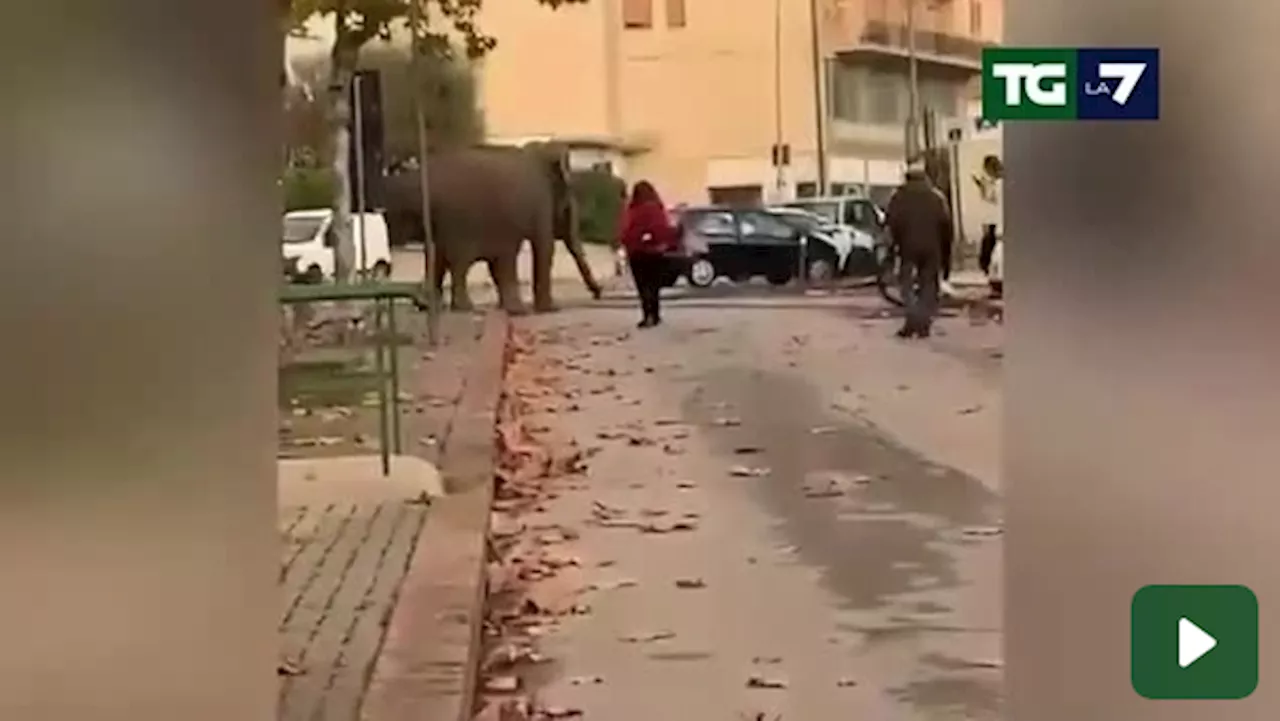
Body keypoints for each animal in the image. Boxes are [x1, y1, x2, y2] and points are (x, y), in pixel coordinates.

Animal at [381, 143, 601, 313]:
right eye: (568, 203)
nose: (598, 293)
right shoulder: (540, 201)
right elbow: (544, 247)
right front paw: (550, 309)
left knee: (438, 259)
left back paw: (427, 305)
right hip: (457, 222)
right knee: (458, 263)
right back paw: (463, 308)